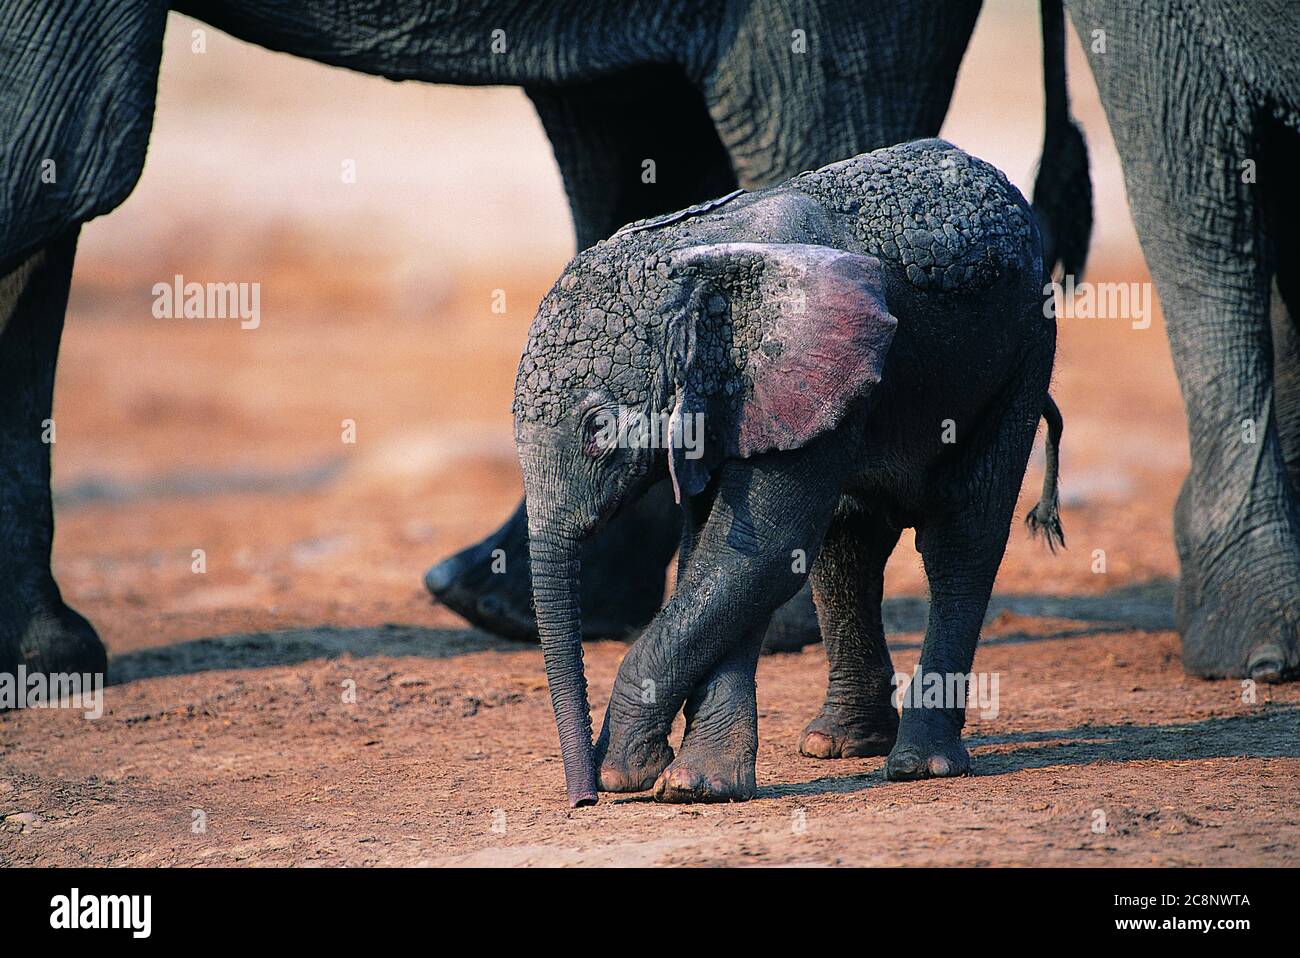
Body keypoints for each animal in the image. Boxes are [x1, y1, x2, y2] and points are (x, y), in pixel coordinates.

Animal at [2, 0, 1086, 675]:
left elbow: (47, 161)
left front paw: (47, 662)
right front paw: (46, 662)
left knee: (796, 125)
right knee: (635, 145)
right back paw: (503, 603)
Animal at [512, 138, 1060, 805]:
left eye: (597, 429)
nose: (583, 798)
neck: (698, 256)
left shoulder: (794, 366)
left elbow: (758, 551)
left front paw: (634, 773)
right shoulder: (732, 397)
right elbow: (722, 555)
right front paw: (693, 784)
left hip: (1025, 352)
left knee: (961, 540)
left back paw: (919, 765)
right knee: (847, 544)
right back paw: (840, 744)